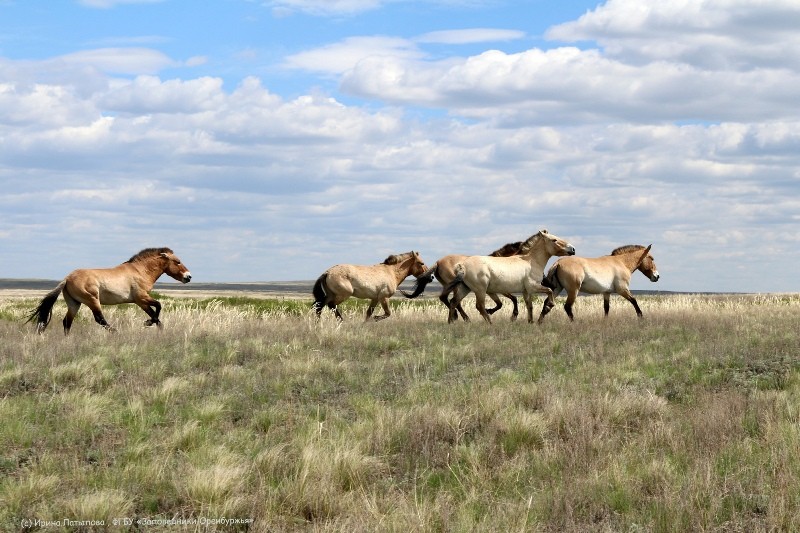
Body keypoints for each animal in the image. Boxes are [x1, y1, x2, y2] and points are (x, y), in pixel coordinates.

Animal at [27, 246, 192, 332]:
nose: (188, 277)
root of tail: (67, 278)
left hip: (74, 303)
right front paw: (148, 323)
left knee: (67, 322)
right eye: (177, 262)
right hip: (93, 300)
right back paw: (116, 331)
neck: (140, 271)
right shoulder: (141, 298)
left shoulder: (140, 301)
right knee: (100, 319)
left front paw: (155, 326)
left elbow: (155, 313)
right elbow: (158, 306)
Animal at [444, 230, 576, 324]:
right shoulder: (533, 287)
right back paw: (490, 323)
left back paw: (450, 323)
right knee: (479, 306)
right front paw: (550, 305)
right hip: (480, 290)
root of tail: (462, 266)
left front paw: (531, 322)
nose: (573, 249)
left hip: (465, 288)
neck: (531, 261)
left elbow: (529, 306)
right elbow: (549, 291)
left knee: (453, 302)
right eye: (554, 240)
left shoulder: (526, 291)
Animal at [536, 243, 664, 322]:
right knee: (567, 307)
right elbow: (634, 301)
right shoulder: (622, 290)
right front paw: (641, 317)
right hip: (573, 291)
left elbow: (606, 308)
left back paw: (539, 323)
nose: (657, 276)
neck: (621, 263)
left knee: (547, 304)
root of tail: (557, 263)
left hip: (557, 289)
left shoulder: (606, 293)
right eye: (651, 258)